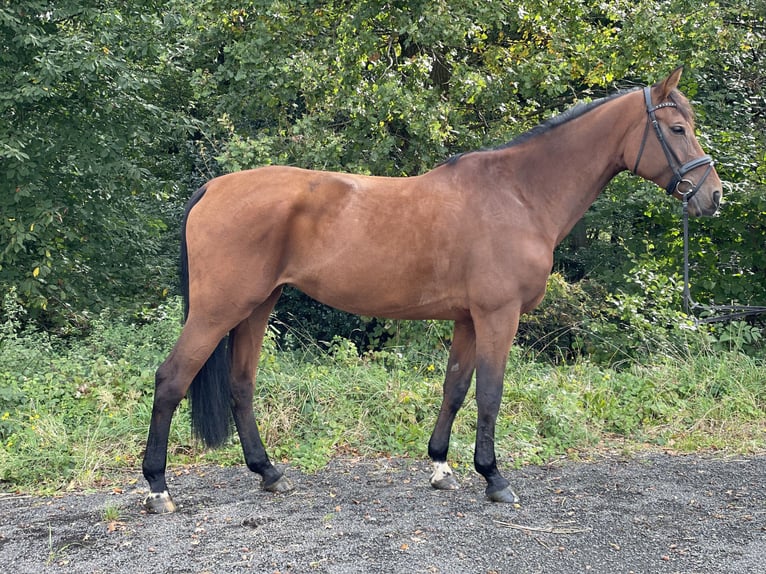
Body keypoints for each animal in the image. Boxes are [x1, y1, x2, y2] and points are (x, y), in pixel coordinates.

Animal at [141, 66, 724, 512]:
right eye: (676, 128)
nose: (713, 196)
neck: (518, 194)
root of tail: (214, 187)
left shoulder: (468, 318)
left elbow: (456, 388)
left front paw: (442, 466)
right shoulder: (498, 314)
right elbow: (490, 392)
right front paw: (495, 479)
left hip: (258, 305)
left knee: (241, 385)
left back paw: (268, 473)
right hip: (219, 309)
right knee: (171, 380)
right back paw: (158, 489)